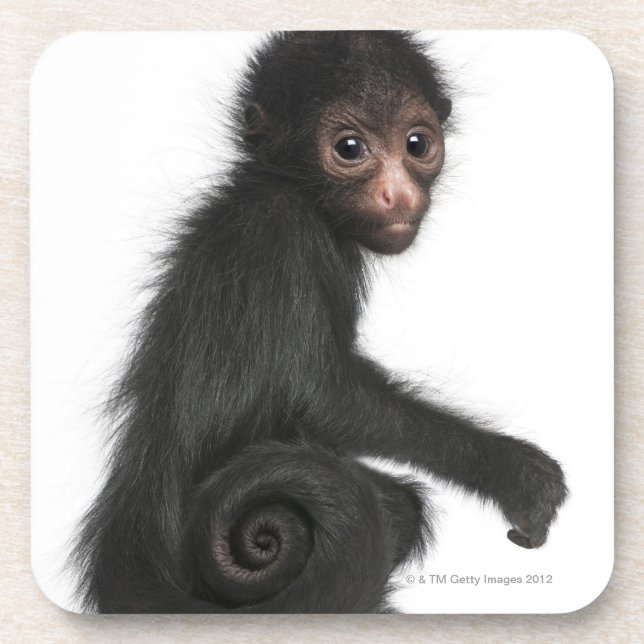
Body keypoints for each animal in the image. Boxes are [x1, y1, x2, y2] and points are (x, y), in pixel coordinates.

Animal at [72, 31, 568, 614]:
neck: (286, 188)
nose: (399, 193)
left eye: (416, 144)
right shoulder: (285, 232)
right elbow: (319, 396)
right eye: (350, 149)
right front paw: (514, 472)